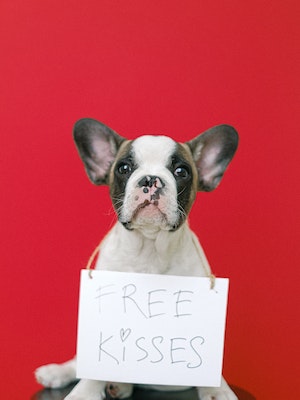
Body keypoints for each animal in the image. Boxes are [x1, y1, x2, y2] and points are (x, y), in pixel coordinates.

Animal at [35, 119, 239, 400]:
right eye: (124, 168)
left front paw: (217, 389)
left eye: (181, 171)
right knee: (77, 362)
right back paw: (57, 372)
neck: (150, 250)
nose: (151, 179)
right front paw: (84, 391)